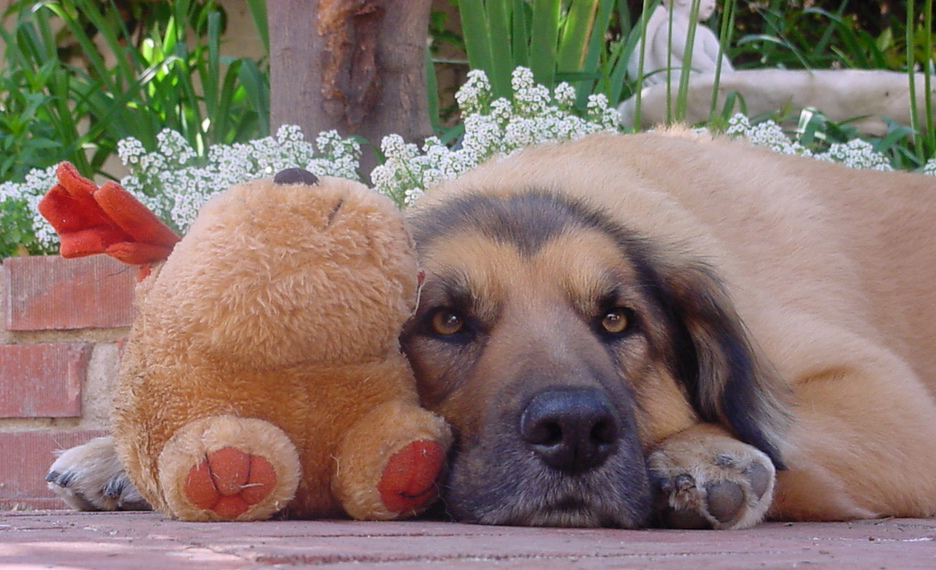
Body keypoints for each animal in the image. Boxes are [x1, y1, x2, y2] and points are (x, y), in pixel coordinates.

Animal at [45, 130, 936, 528]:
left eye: (617, 319)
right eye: (446, 320)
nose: (575, 432)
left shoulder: (891, 404)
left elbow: (785, 443)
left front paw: (706, 454)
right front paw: (116, 456)